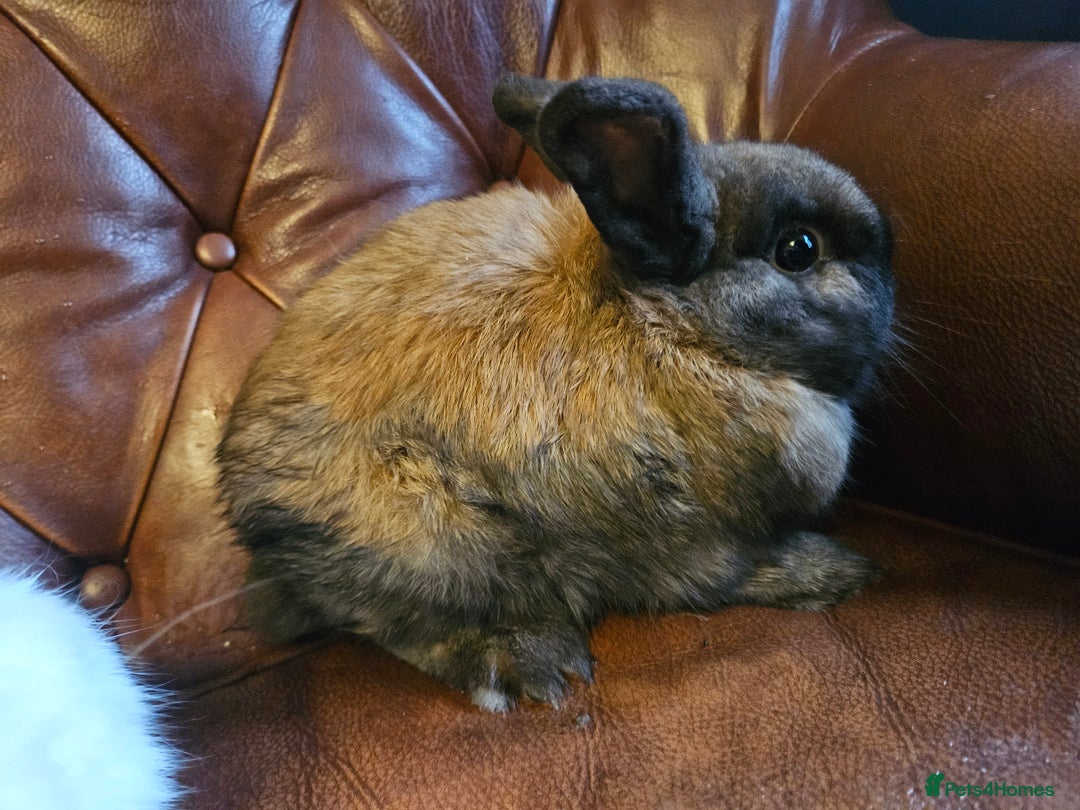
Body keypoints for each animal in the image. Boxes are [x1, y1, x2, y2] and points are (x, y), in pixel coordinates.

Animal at [216, 73, 895, 712]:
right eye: (799, 249)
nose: (891, 295)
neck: (672, 325)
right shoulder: (693, 546)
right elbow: (727, 578)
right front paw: (839, 573)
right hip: (437, 547)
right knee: (413, 628)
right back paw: (531, 666)